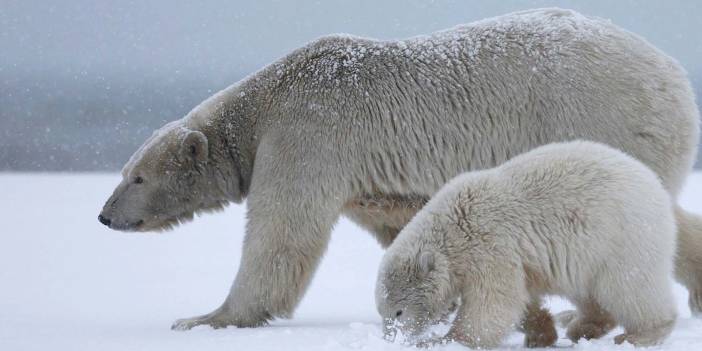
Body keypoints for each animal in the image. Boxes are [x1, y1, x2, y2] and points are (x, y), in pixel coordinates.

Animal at [99, 9, 702, 332]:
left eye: (136, 176)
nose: (104, 216)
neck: (267, 102)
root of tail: (672, 72)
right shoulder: (366, 178)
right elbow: (402, 226)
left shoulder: (306, 136)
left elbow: (282, 236)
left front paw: (206, 317)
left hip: (602, 117)